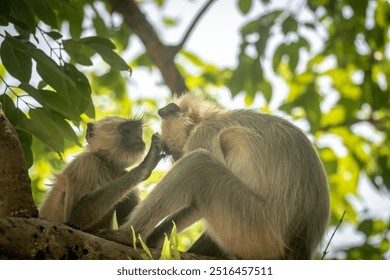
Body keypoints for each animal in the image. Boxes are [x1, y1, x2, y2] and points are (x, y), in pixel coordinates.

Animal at [104, 94, 330, 260]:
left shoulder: (203, 135)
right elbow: (195, 207)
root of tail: (297, 248)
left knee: (198, 163)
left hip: (257, 228)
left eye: (174, 153)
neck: (208, 119)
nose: (178, 158)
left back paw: (126, 236)